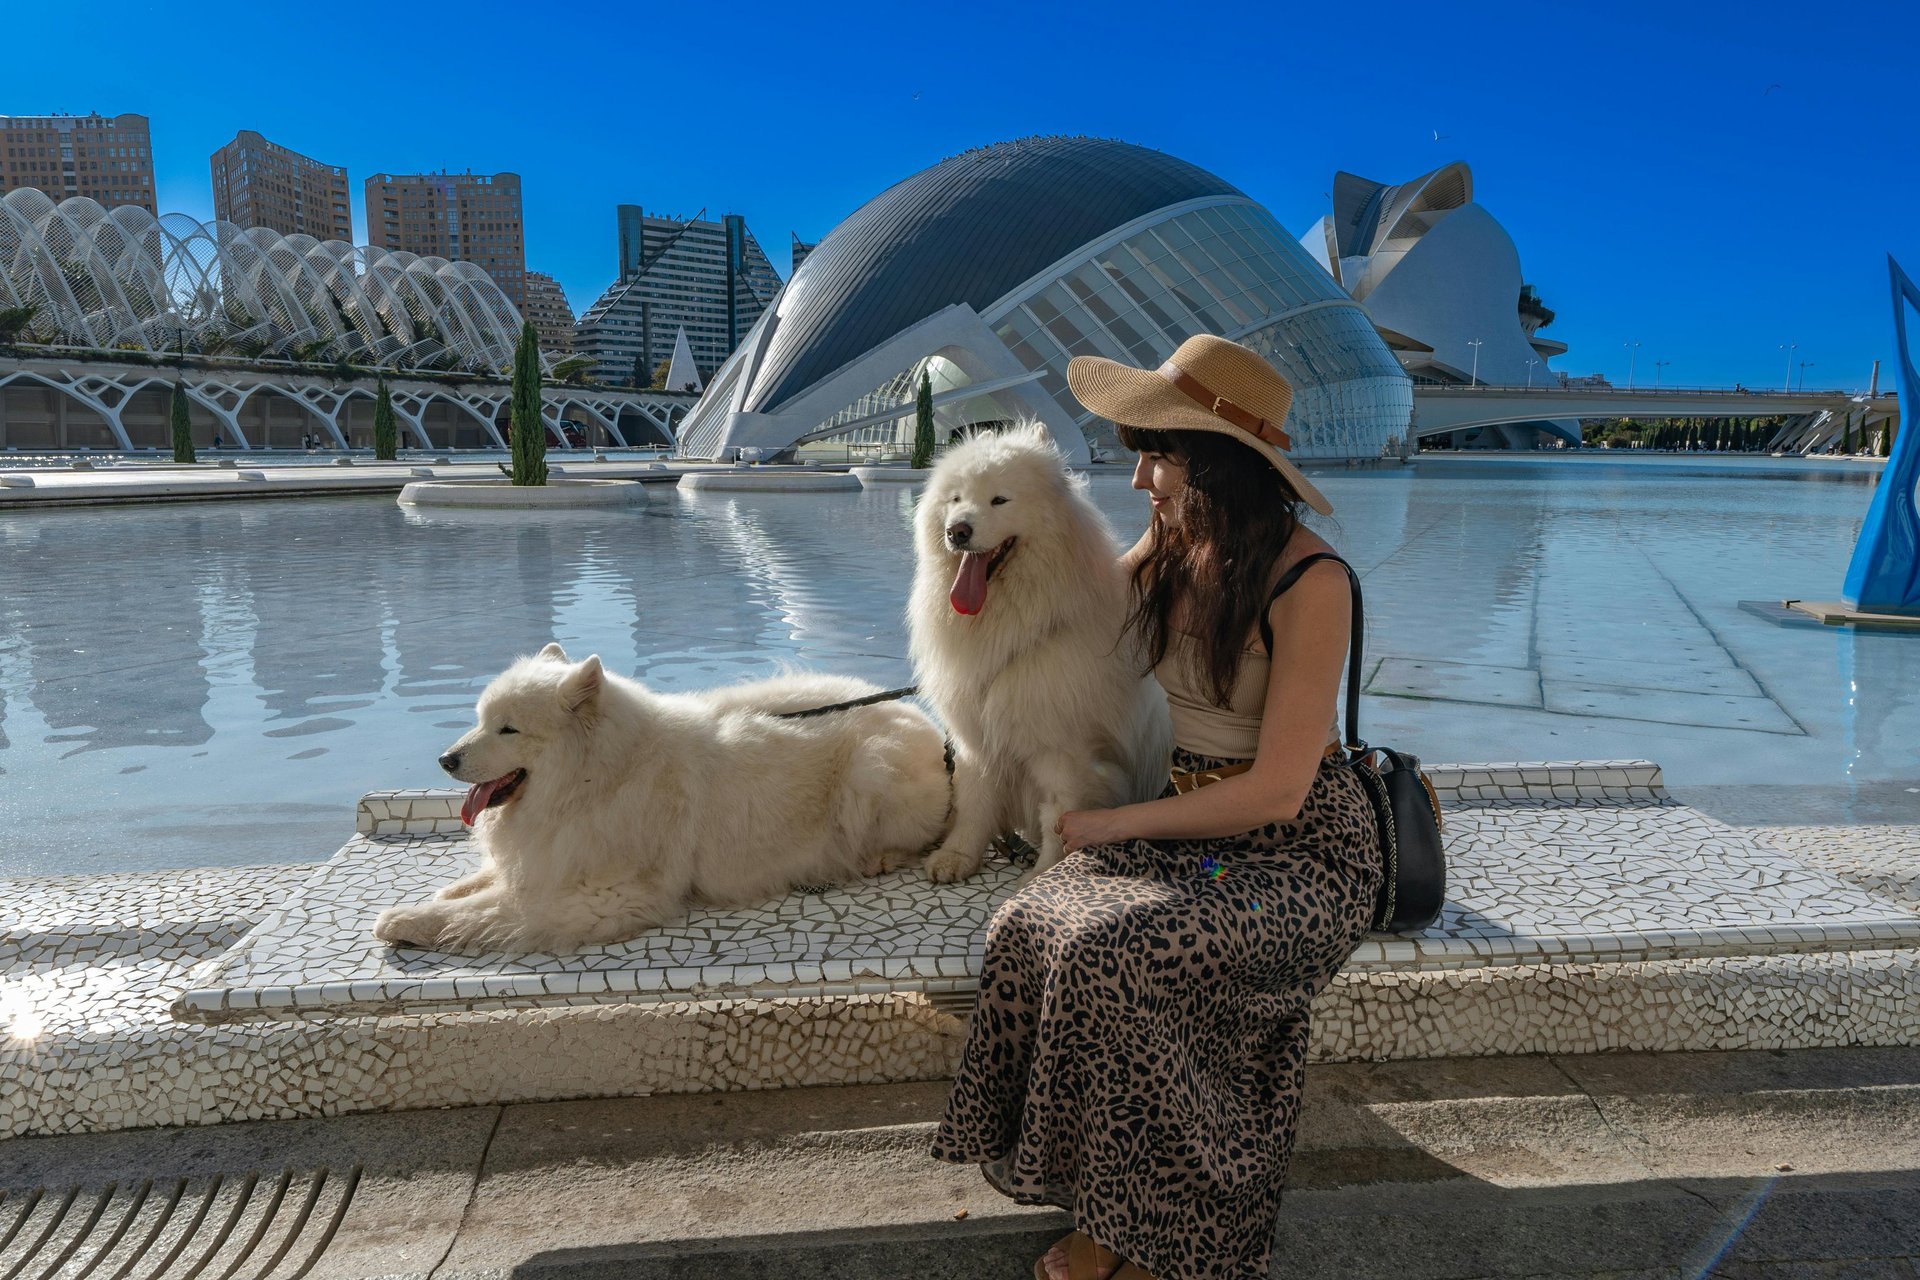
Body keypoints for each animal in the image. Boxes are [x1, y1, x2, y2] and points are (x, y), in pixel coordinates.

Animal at [372, 644, 952, 955]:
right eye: (480, 721)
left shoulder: (605, 896)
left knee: (919, 838)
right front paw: (449, 891)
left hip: (870, 773)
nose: (445, 760)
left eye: (507, 729)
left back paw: (873, 860)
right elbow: (484, 885)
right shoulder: (550, 856)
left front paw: (405, 920)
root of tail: (934, 731)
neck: (598, 778)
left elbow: (487, 910)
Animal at [910, 426, 1167, 886]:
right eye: (956, 499)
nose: (957, 531)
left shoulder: (1062, 748)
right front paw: (958, 855)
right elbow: (974, 800)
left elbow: (1058, 816)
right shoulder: (976, 736)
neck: (1013, 631)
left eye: (999, 500)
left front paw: (1045, 875)